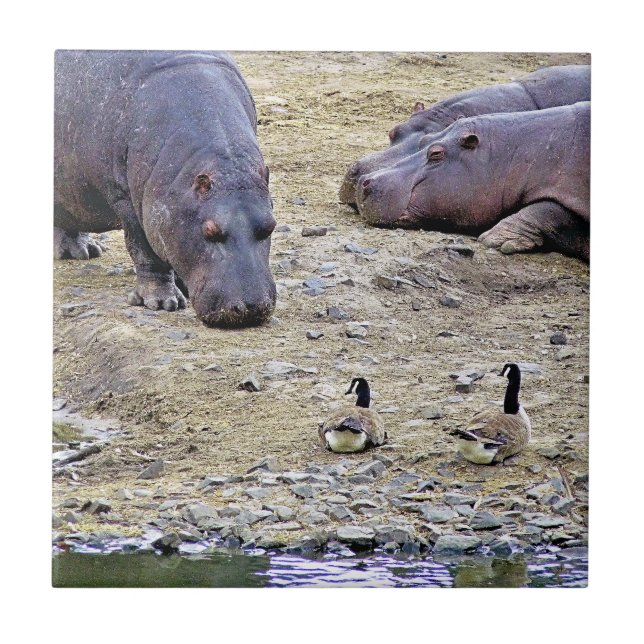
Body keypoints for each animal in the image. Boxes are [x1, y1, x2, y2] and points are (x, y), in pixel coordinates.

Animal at [55, 50, 277, 327]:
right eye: (210, 230)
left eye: (270, 226)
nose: (251, 308)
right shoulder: (127, 202)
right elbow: (145, 251)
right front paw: (163, 303)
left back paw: (84, 252)